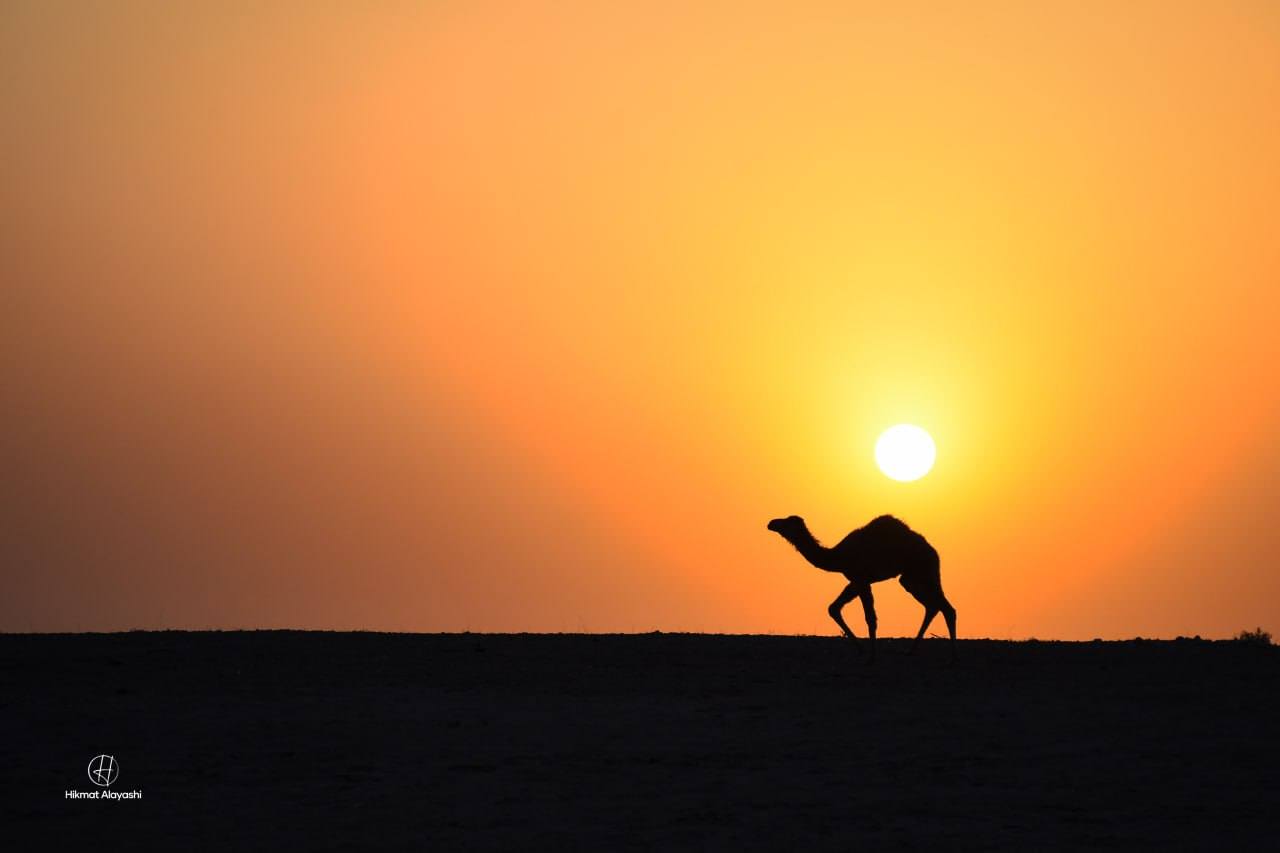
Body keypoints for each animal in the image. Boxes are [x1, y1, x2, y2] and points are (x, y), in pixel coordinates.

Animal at [767, 514, 956, 662]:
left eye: (787, 521)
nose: (771, 523)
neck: (838, 555)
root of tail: (933, 551)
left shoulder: (862, 579)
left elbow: (870, 618)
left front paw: (871, 657)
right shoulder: (855, 580)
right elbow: (833, 608)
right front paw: (861, 649)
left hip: (924, 570)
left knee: (947, 608)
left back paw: (952, 657)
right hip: (909, 578)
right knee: (932, 606)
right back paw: (911, 651)